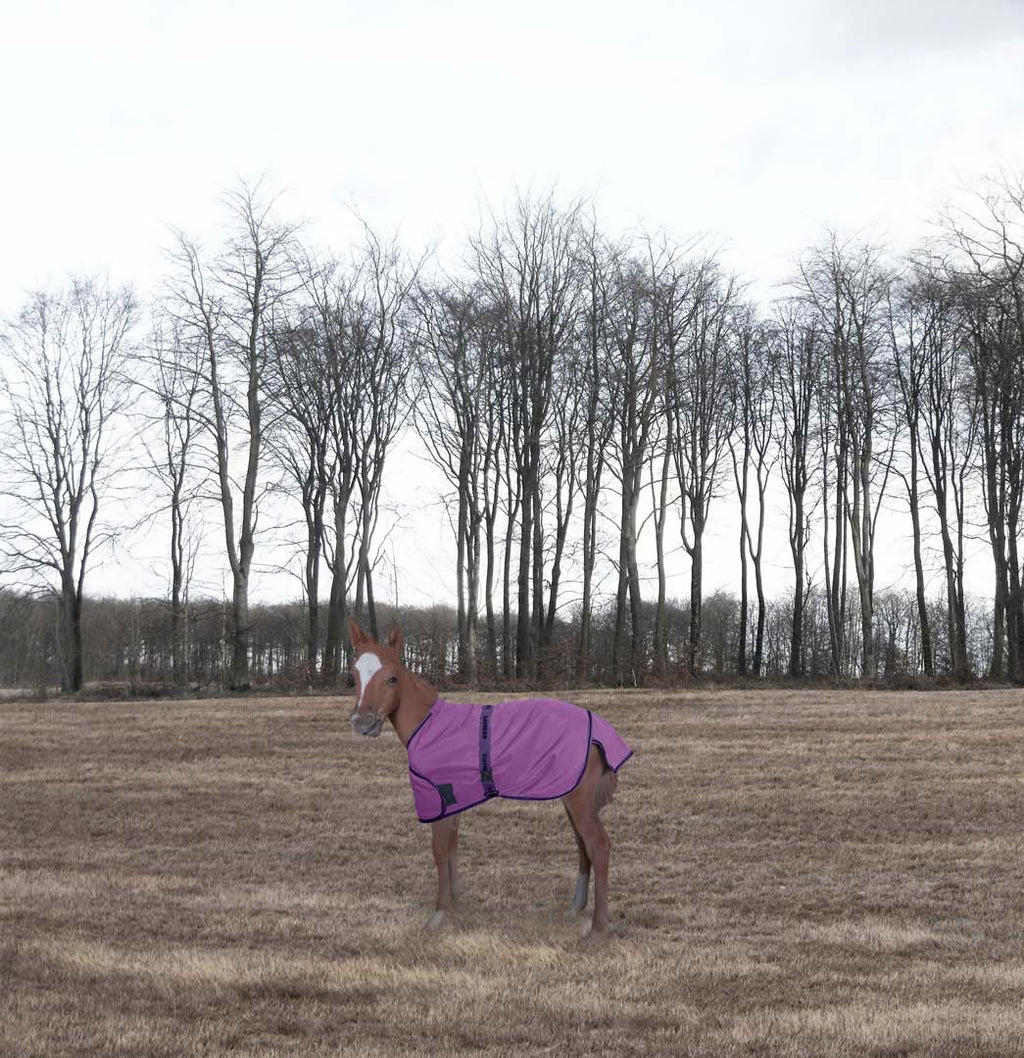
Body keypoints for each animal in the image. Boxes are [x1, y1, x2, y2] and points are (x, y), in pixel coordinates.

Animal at [345, 618, 632, 935]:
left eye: (392, 678)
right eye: (353, 674)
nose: (362, 722)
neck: (428, 725)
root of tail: (600, 729)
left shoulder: (438, 798)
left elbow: (439, 849)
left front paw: (438, 914)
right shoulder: (455, 799)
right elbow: (452, 846)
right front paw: (455, 903)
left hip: (579, 800)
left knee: (599, 846)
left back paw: (598, 928)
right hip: (572, 797)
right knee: (583, 846)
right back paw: (575, 908)